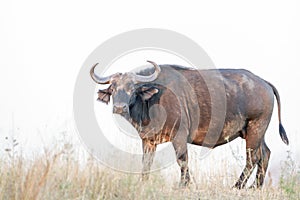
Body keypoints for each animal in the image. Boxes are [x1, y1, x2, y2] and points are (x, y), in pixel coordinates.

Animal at [89, 61, 288, 189]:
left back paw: (238, 186)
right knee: (264, 154)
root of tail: (263, 82)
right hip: (254, 132)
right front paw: (143, 183)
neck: (152, 100)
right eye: (113, 88)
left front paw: (184, 184)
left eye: (132, 88)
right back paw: (256, 187)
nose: (119, 107)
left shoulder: (179, 136)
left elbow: (182, 159)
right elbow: (146, 163)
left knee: (252, 158)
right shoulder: (148, 141)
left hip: (256, 127)